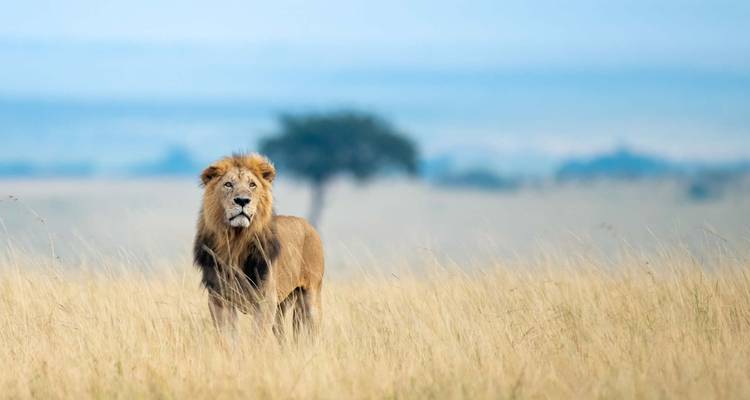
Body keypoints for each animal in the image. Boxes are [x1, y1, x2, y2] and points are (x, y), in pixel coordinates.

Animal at [193, 153, 324, 339]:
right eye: (228, 184)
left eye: (252, 185)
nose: (242, 200)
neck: (236, 243)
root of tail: (309, 225)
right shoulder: (219, 299)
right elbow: (227, 338)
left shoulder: (265, 300)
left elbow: (257, 337)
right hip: (280, 309)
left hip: (310, 297)